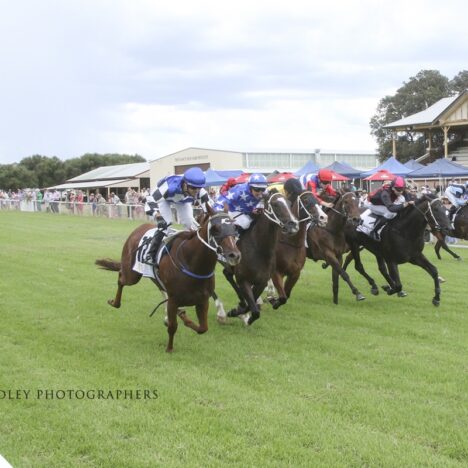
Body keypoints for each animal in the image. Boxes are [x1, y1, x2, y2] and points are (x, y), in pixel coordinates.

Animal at [95, 206, 241, 352]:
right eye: (215, 228)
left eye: (234, 227)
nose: (234, 255)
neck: (192, 263)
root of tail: (139, 228)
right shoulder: (173, 300)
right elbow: (173, 326)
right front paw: (169, 348)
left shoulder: (203, 300)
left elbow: (202, 328)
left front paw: (185, 318)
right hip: (131, 275)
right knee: (121, 278)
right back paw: (114, 302)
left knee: (158, 287)